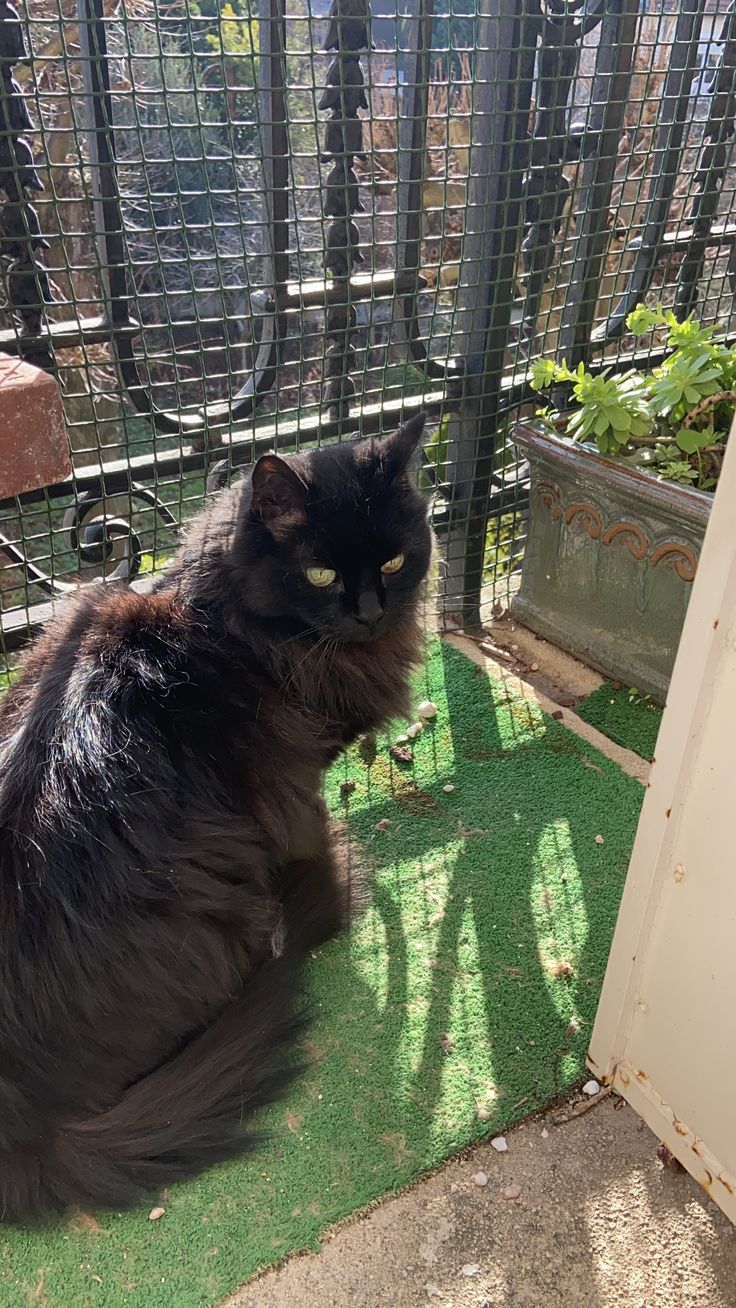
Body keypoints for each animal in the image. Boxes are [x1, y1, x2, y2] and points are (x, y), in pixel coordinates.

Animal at [0, 413, 431, 1219]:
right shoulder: (289, 782)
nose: (370, 612)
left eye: (393, 560)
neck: (234, 623)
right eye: (320, 574)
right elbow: (310, 835)